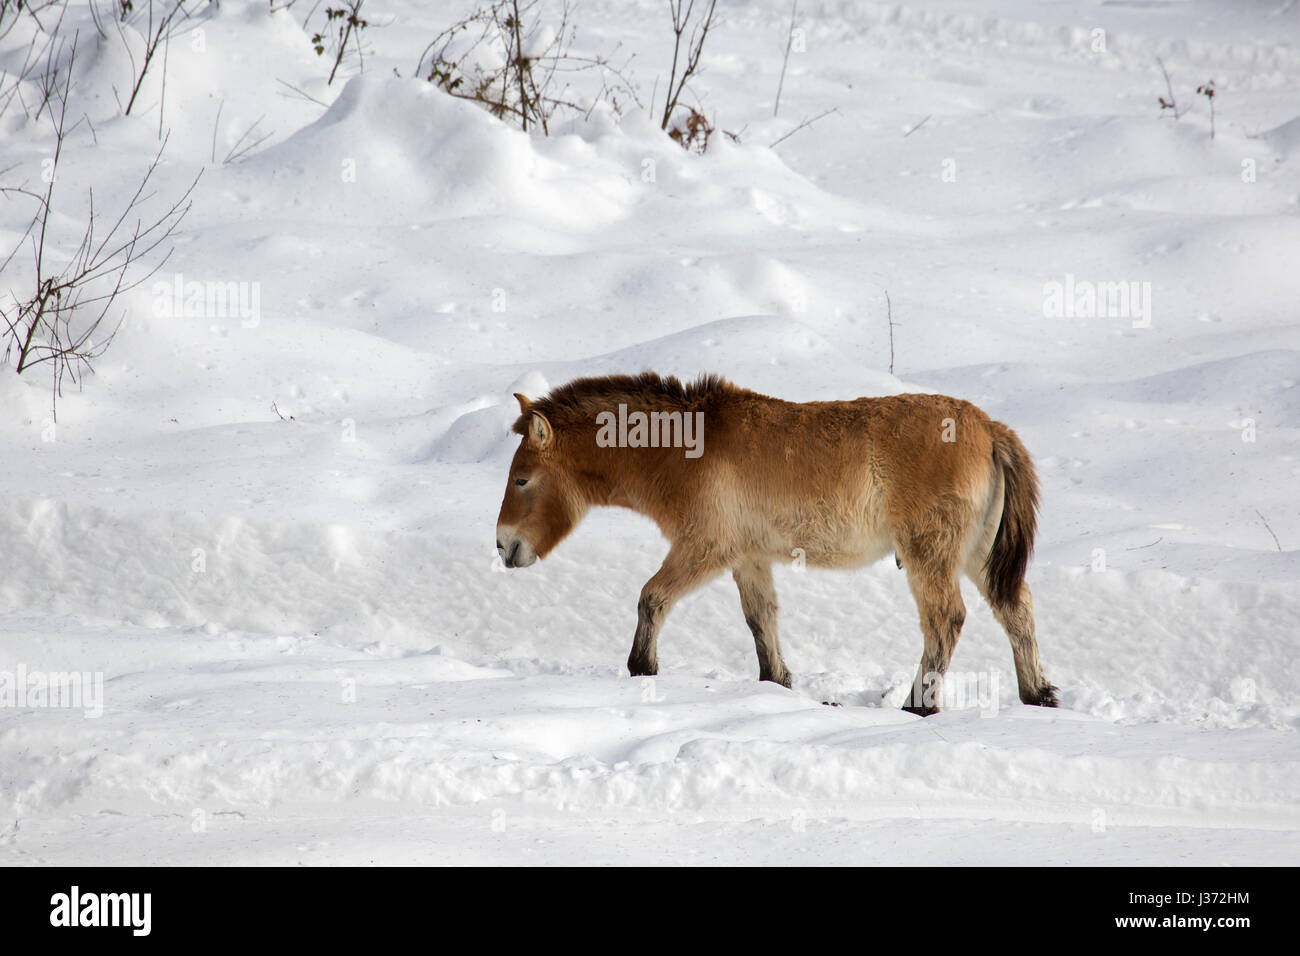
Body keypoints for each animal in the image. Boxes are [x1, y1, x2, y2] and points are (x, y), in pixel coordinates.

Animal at [494, 372, 1058, 715]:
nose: (503, 546)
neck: (683, 449)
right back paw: (1037, 694)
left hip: (930, 555)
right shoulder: (748, 559)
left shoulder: (704, 549)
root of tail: (991, 429)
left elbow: (651, 597)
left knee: (946, 619)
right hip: (978, 556)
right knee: (1017, 609)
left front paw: (642, 668)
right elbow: (761, 620)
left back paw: (919, 704)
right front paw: (777, 683)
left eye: (522, 478)